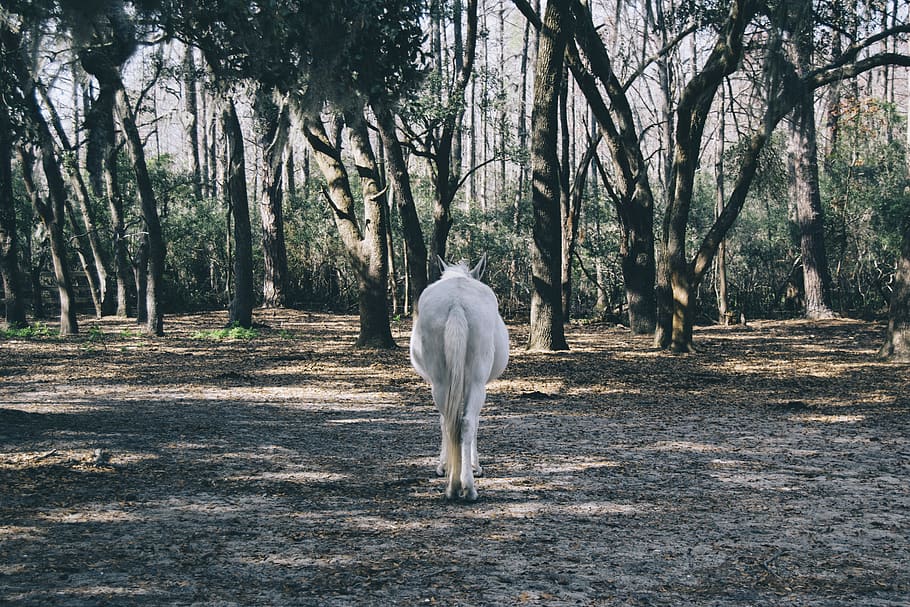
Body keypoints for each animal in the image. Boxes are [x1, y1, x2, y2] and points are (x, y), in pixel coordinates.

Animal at [409, 255, 509, 501]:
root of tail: (456, 303)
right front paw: (475, 466)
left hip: (441, 383)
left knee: (450, 421)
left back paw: (454, 485)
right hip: (476, 381)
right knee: (464, 422)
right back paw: (467, 486)